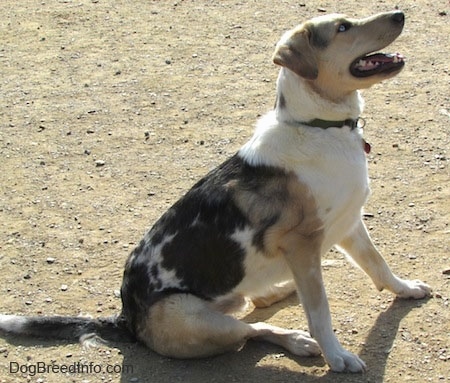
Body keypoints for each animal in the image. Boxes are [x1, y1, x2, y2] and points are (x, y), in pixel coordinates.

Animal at [0, 9, 430, 376]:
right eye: (342, 28)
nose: (399, 14)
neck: (319, 127)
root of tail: (125, 319)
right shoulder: (303, 245)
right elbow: (320, 312)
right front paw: (337, 356)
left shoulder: (349, 222)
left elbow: (379, 265)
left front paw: (406, 289)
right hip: (195, 320)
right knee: (253, 330)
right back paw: (297, 339)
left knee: (256, 304)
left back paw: (281, 288)